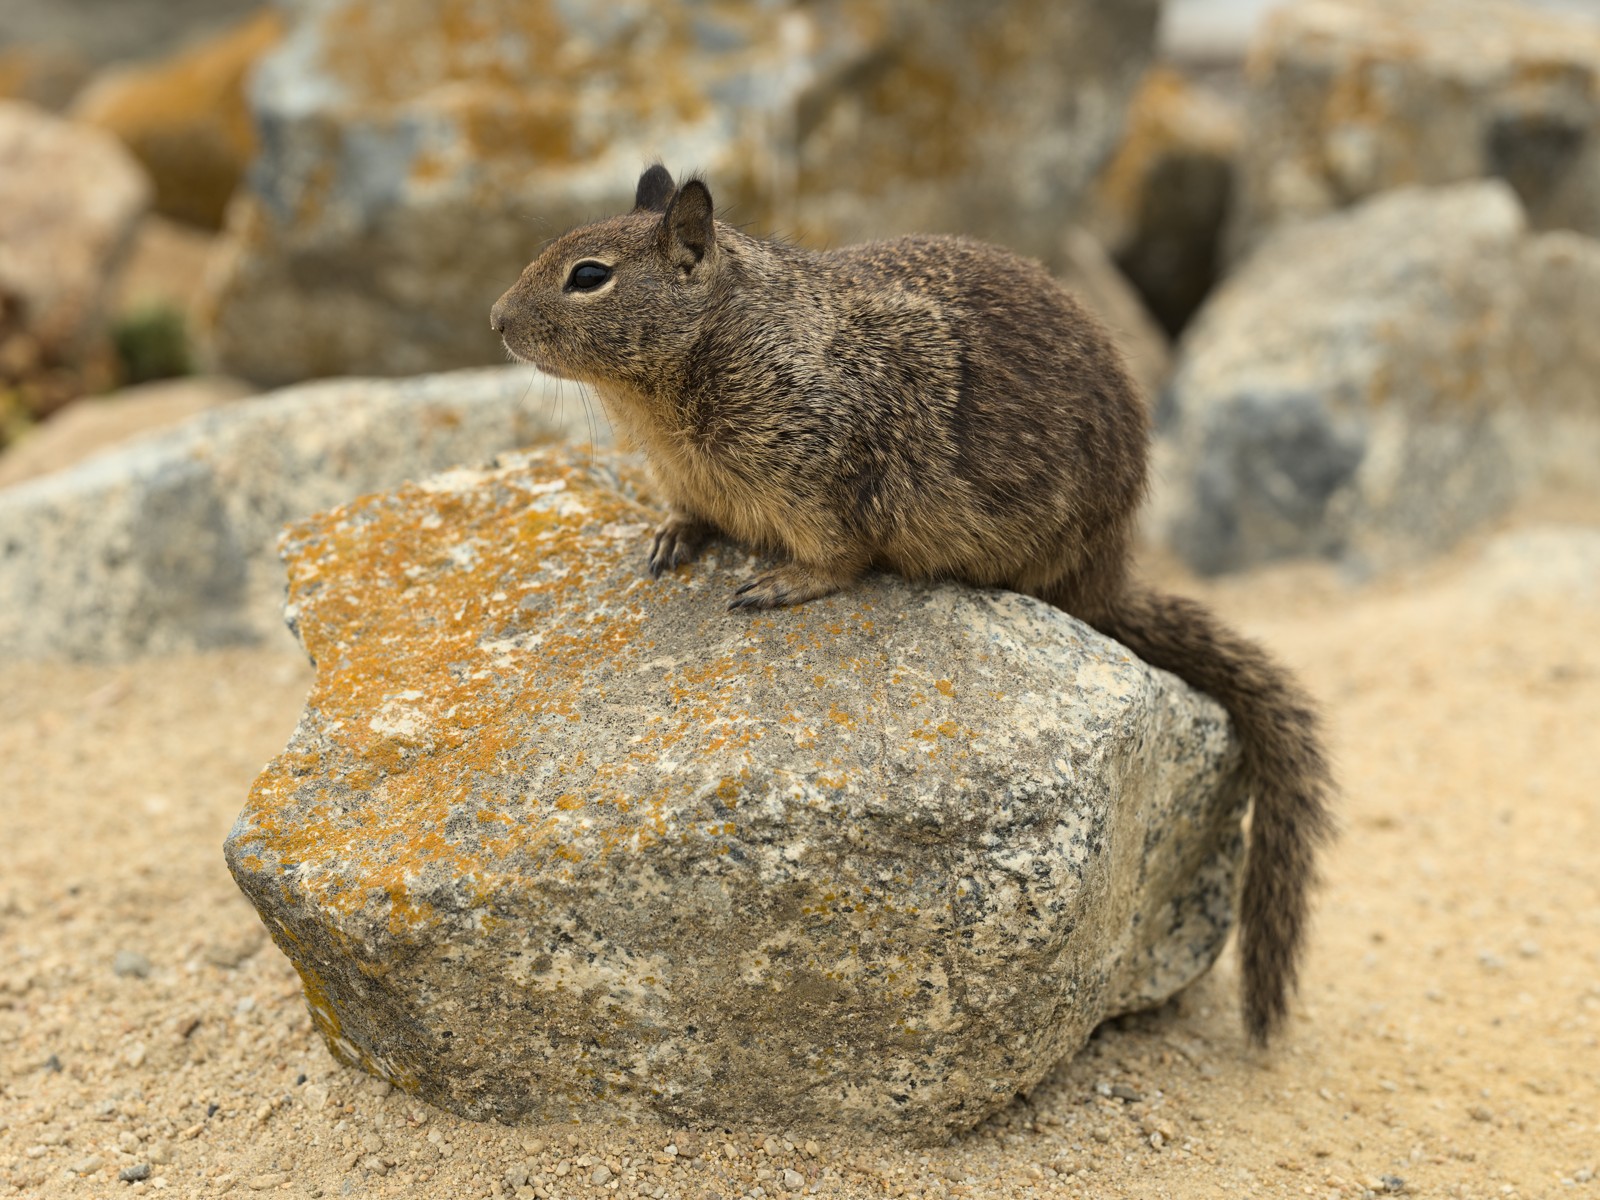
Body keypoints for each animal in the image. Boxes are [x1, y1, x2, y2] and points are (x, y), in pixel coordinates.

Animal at [489, 164, 1337, 1049]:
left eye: (589, 275)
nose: (496, 321)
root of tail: (1107, 579)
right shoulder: (691, 477)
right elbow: (691, 515)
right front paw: (670, 537)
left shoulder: (825, 481)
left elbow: (837, 560)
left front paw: (778, 584)